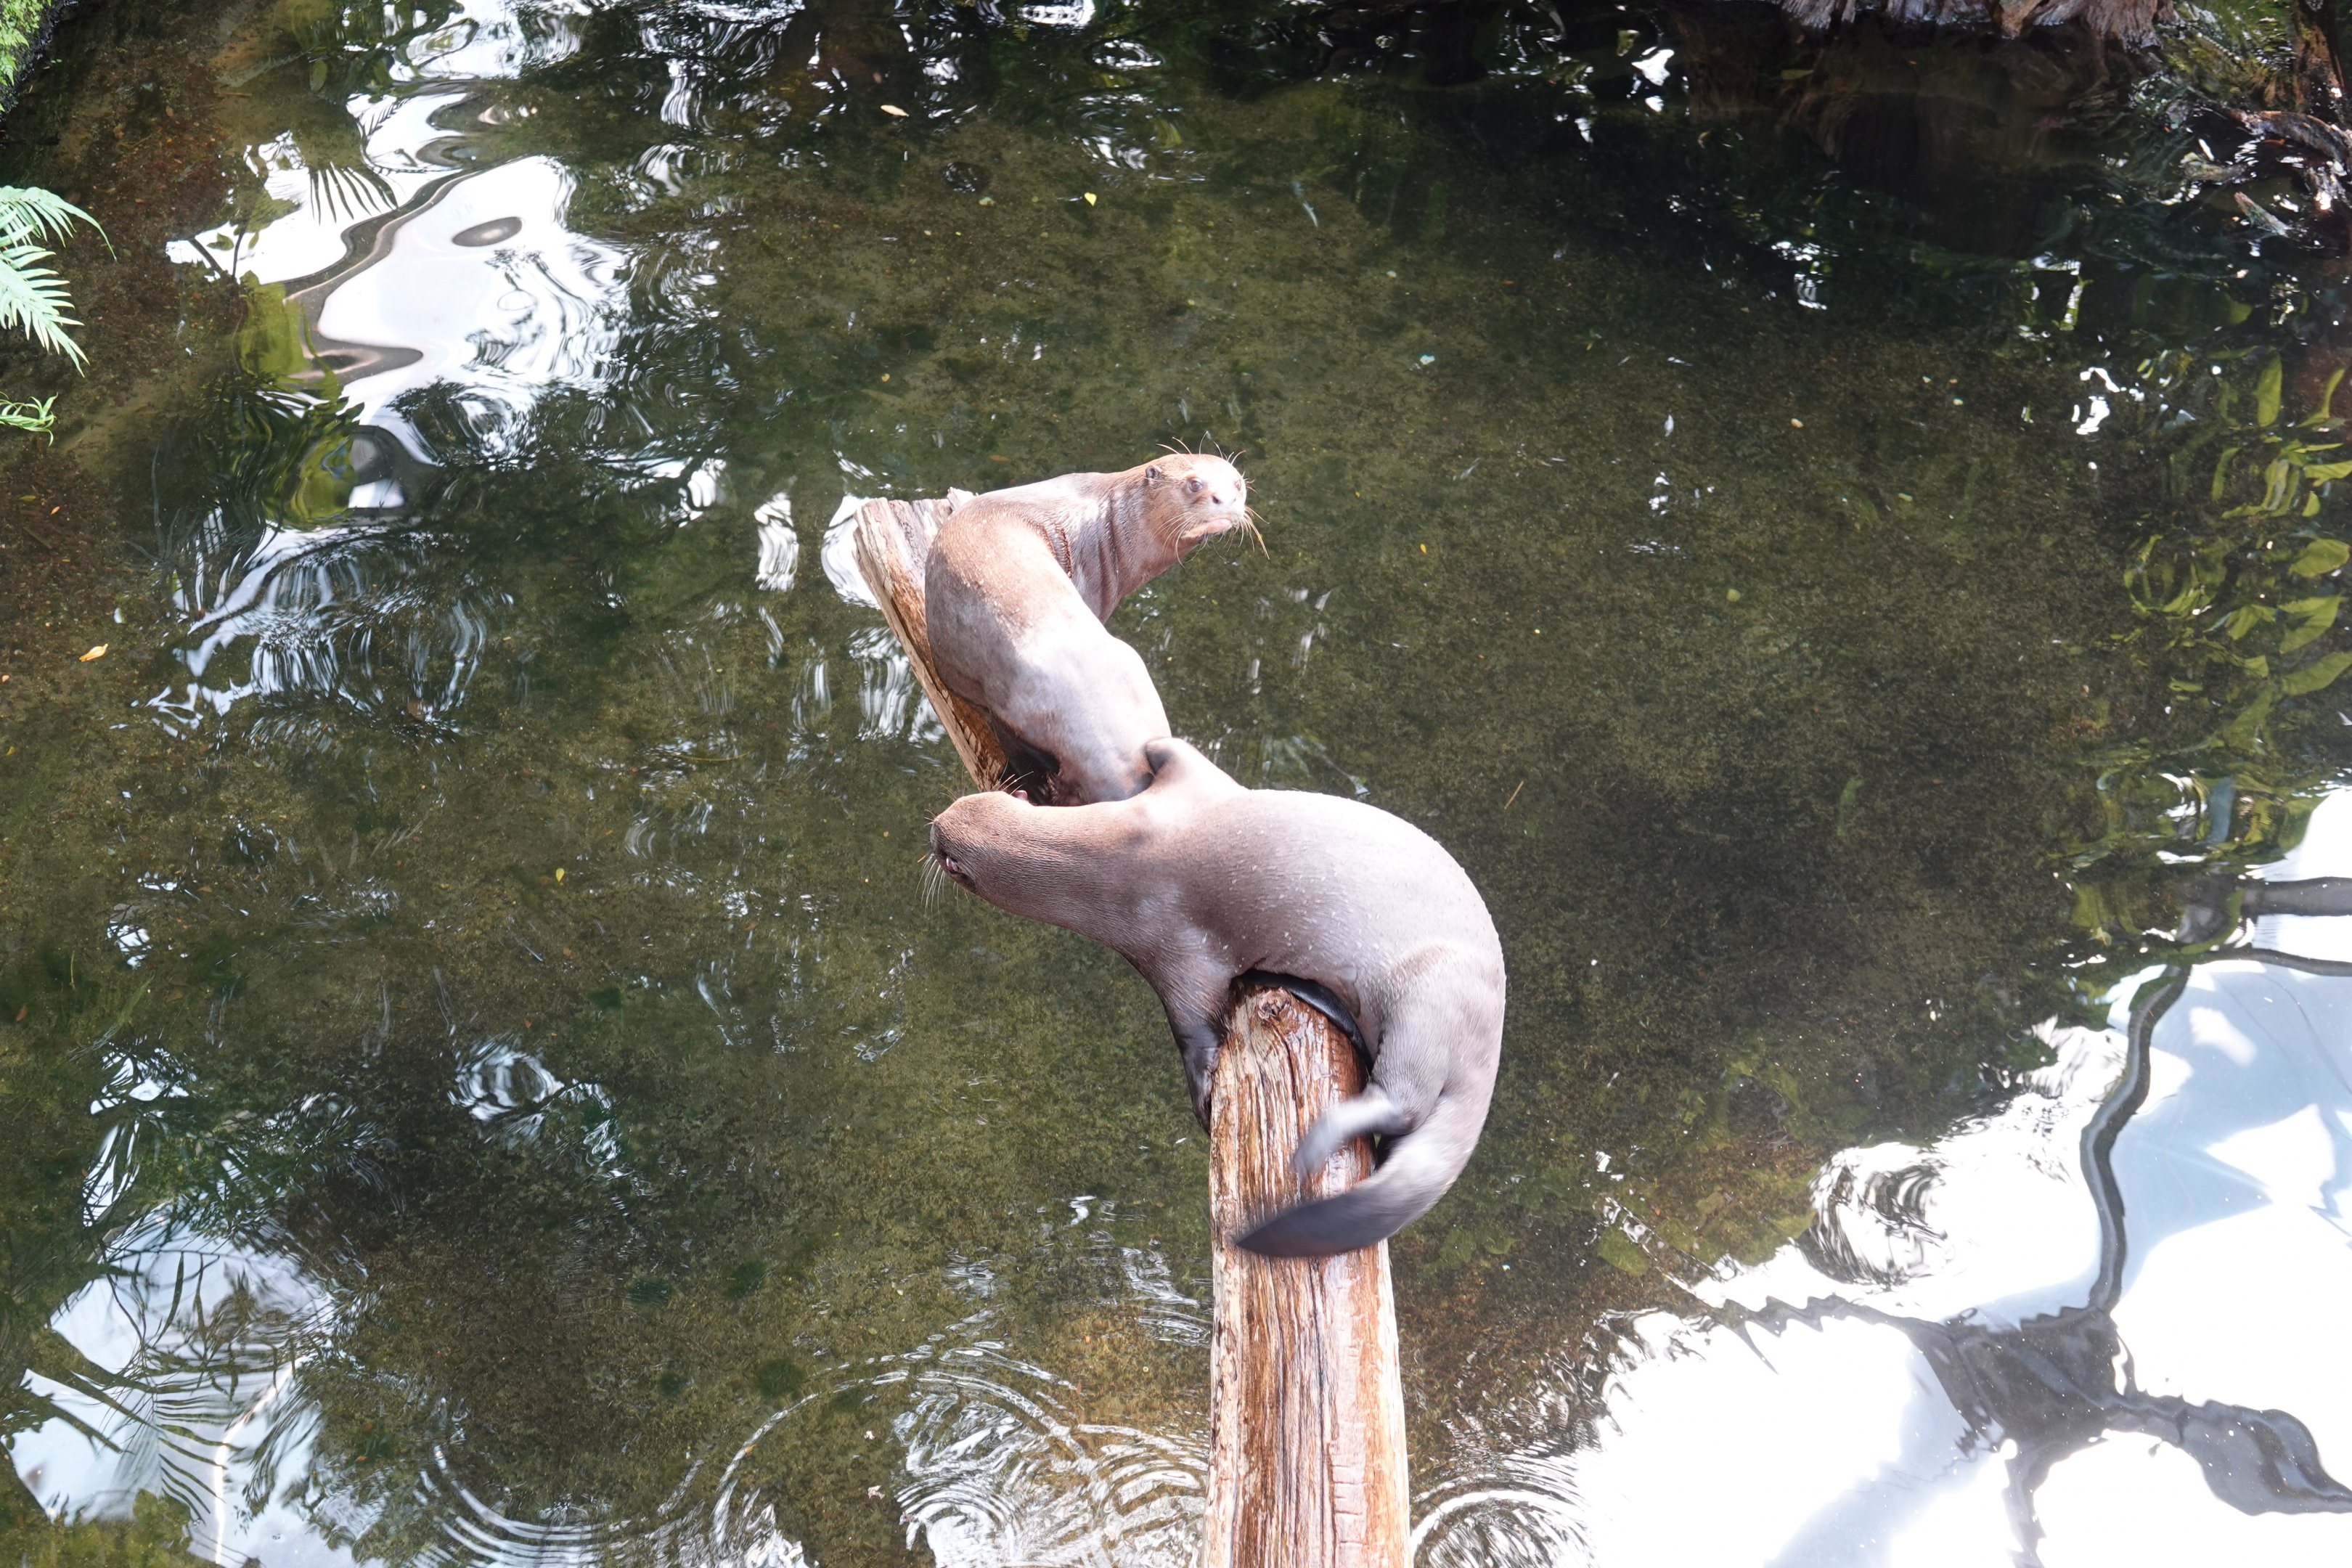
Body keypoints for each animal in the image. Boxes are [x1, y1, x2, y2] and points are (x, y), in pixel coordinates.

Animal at [927, 738, 1504, 1257]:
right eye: (964, 802)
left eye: (948, 854)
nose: (933, 825)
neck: (1116, 856)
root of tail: (1488, 1047)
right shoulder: (1176, 804)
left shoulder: (1174, 948)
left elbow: (1193, 1025)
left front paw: (1204, 1097)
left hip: (1430, 994)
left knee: (1404, 1103)